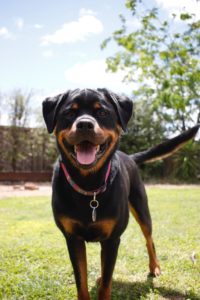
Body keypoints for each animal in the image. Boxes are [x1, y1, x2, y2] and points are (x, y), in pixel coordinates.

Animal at [42, 88, 198, 300]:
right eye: (69, 112)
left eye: (102, 112)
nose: (84, 124)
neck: (89, 183)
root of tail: (128, 156)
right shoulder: (73, 239)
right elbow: (81, 281)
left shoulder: (112, 239)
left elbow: (106, 283)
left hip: (141, 209)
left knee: (149, 240)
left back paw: (154, 267)